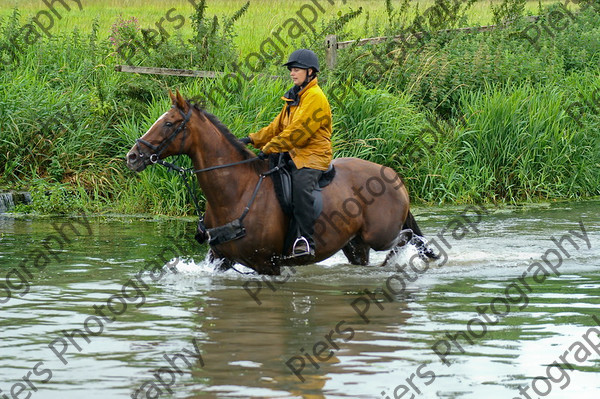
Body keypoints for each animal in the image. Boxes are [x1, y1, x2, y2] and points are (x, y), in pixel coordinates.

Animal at [126, 90, 436, 276]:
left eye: (169, 124)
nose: (132, 156)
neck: (237, 191)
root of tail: (393, 175)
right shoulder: (221, 260)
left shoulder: (268, 265)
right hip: (354, 244)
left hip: (378, 234)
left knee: (407, 237)